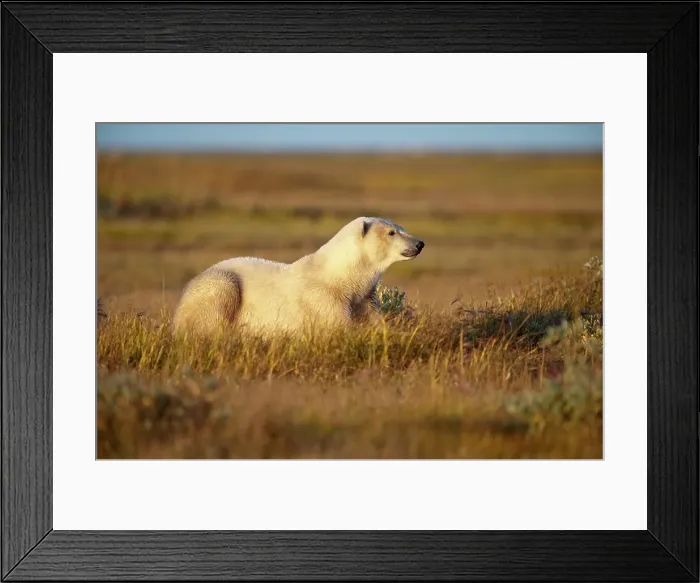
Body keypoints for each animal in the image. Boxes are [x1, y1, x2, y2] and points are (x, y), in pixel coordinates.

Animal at [172, 216, 424, 338]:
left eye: (401, 227)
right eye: (392, 232)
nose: (419, 243)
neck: (343, 276)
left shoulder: (364, 298)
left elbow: (376, 321)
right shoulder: (323, 297)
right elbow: (339, 328)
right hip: (219, 283)